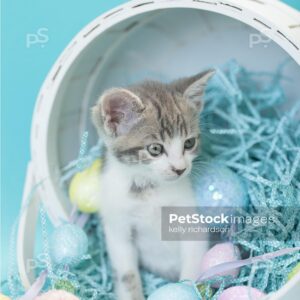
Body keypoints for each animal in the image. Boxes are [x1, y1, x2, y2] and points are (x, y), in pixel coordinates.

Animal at [92, 69, 214, 298]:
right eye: (155, 149)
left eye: (189, 143)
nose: (180, 169)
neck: (148, 189)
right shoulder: (117, 228)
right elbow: (127, 275)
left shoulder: (190, 219)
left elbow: (193, 260)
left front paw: (187, 289)